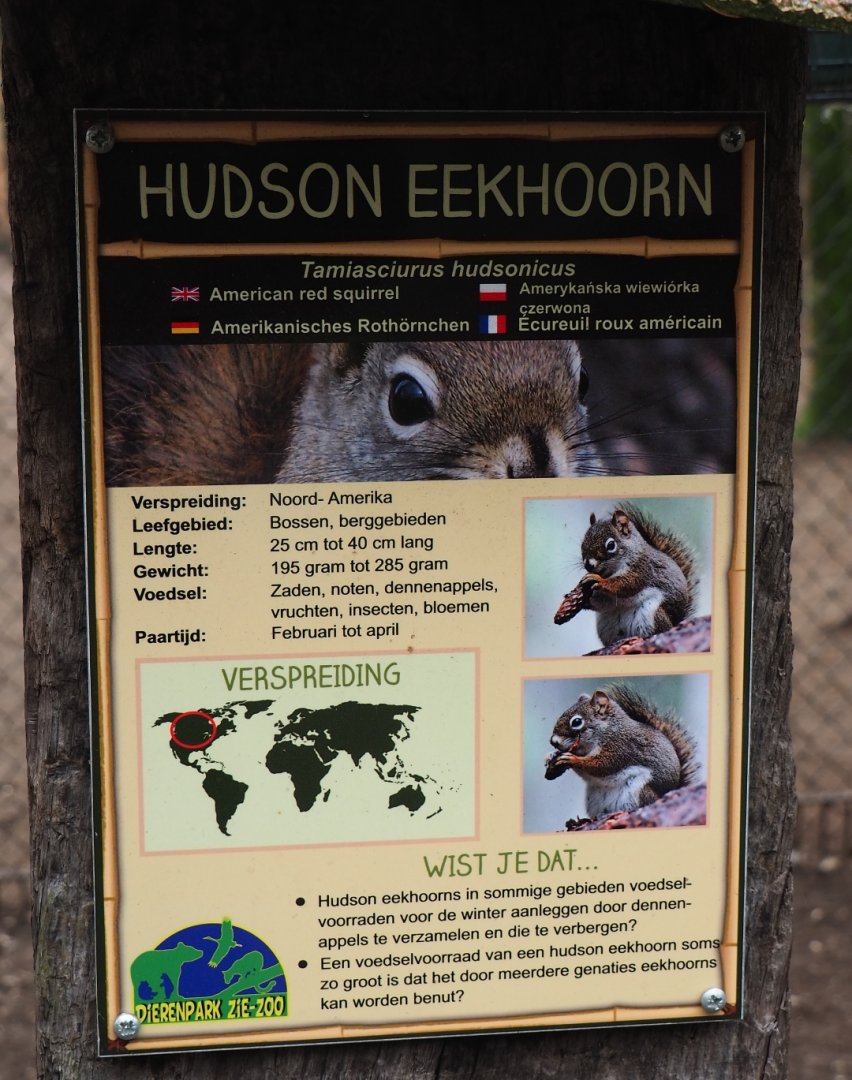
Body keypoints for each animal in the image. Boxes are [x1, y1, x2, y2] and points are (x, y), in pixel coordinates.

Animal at [543, 683, 697, 819]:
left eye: (576, 722)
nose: (553, 741)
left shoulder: (621, 747)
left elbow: (602, 766)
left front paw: (571, 759)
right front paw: (551, 755)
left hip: (641, 790)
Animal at [554, 502, 697, 646]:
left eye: (611, 545)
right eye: (583, 542)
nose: (589, 565)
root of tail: (674, 624)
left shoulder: (642, 568)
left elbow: (625, 585)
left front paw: (598, 580)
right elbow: (603, 601)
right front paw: (578, 599)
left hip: (653, 614)